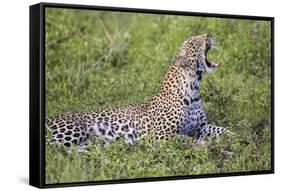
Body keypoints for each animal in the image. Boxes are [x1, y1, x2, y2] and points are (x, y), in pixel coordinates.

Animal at [46, 34, 231, 148]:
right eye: (194, 42)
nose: (208, 34)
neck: (193, 89)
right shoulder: (160, 135)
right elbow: (185, 138)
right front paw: (203, 144)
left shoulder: (202, 126)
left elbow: (223, 130)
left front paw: (234, 137)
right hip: (73, 130)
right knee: (56, 151)